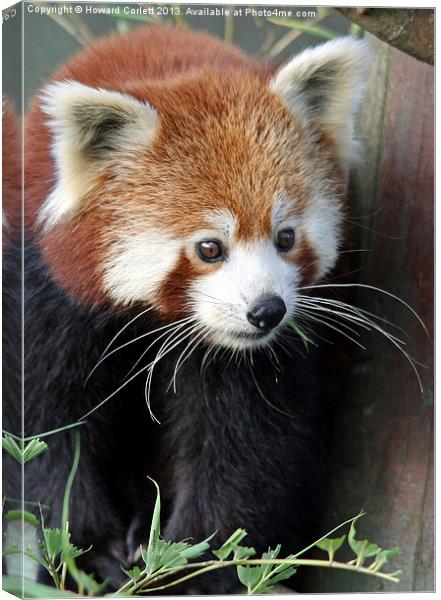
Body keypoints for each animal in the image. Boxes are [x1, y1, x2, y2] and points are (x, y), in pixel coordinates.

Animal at [3, 24, 370, 596]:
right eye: (210, 248)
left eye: (286, 237)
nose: (266, 311)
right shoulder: (44, 294)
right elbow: (43, 430)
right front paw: (87, 551)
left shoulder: (268, 357)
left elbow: (246, 451)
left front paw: (187, 567)